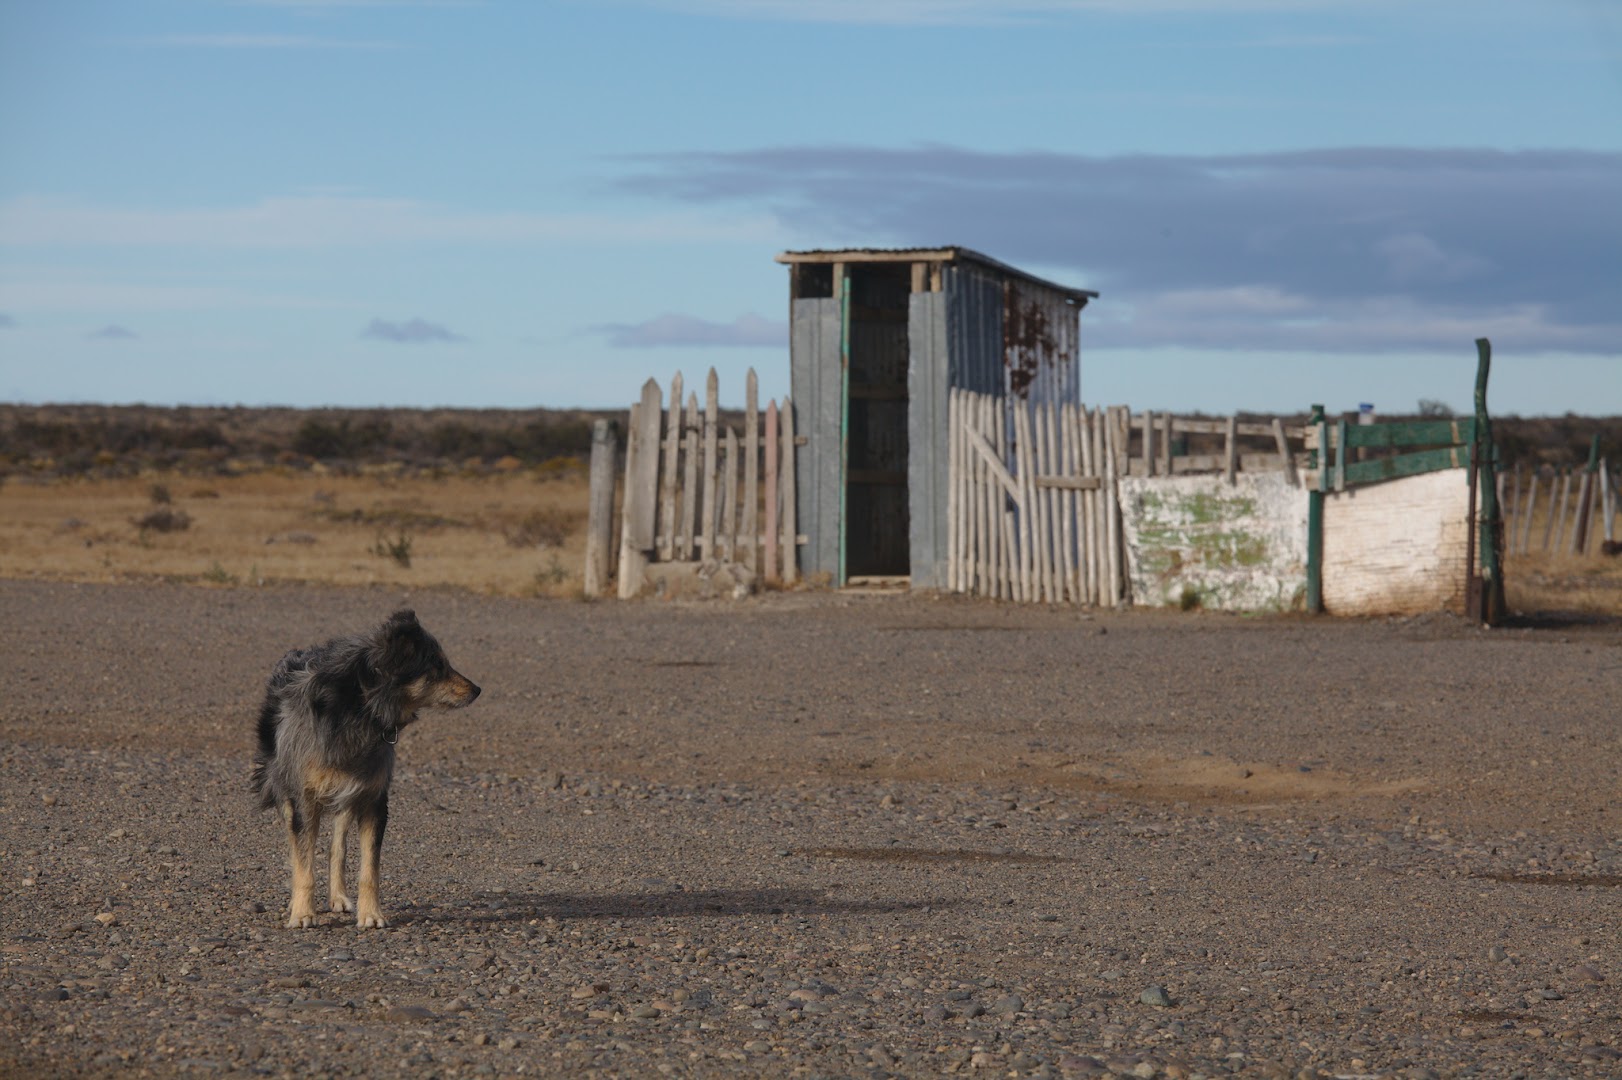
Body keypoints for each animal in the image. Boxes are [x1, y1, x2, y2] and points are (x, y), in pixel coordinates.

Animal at [244, 606, 473, 927]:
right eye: (437, 666)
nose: (477, 689)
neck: (360, 707)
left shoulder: (373, 798)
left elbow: (369, 868)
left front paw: (372, 914)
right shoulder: (304, 798)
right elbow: (303, 862)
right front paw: (302, 912)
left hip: (348, 795)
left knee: (336, 847)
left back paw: (338, 896)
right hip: (284, 785)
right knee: (296, 843)